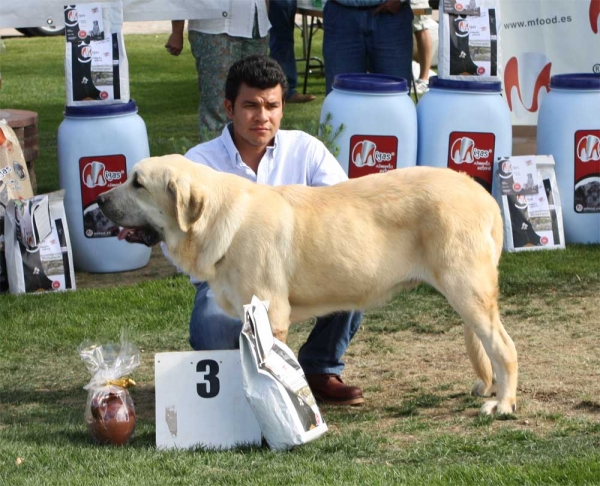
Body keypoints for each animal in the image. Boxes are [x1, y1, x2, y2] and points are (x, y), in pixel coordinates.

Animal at [97, 155, 516, 414]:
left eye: (138, 183)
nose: (98, 200)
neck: (218, 221)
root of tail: (481, 193)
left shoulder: (270, 313)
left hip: (466, 290)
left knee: (504, 348)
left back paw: (503, 404)